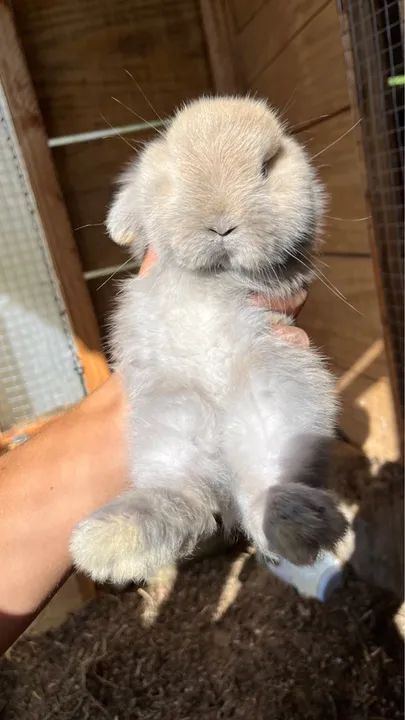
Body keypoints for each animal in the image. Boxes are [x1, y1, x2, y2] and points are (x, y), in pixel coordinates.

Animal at [70, 96, 348, 585]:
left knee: (262, 491)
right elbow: (132, 194)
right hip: (169, 424)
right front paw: (119, 227)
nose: (221, 226)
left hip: (278, 408)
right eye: (178, 171)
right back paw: (110, 542)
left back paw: (302, 526)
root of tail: (222, 456)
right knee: (188, 502)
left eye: (266, 167)